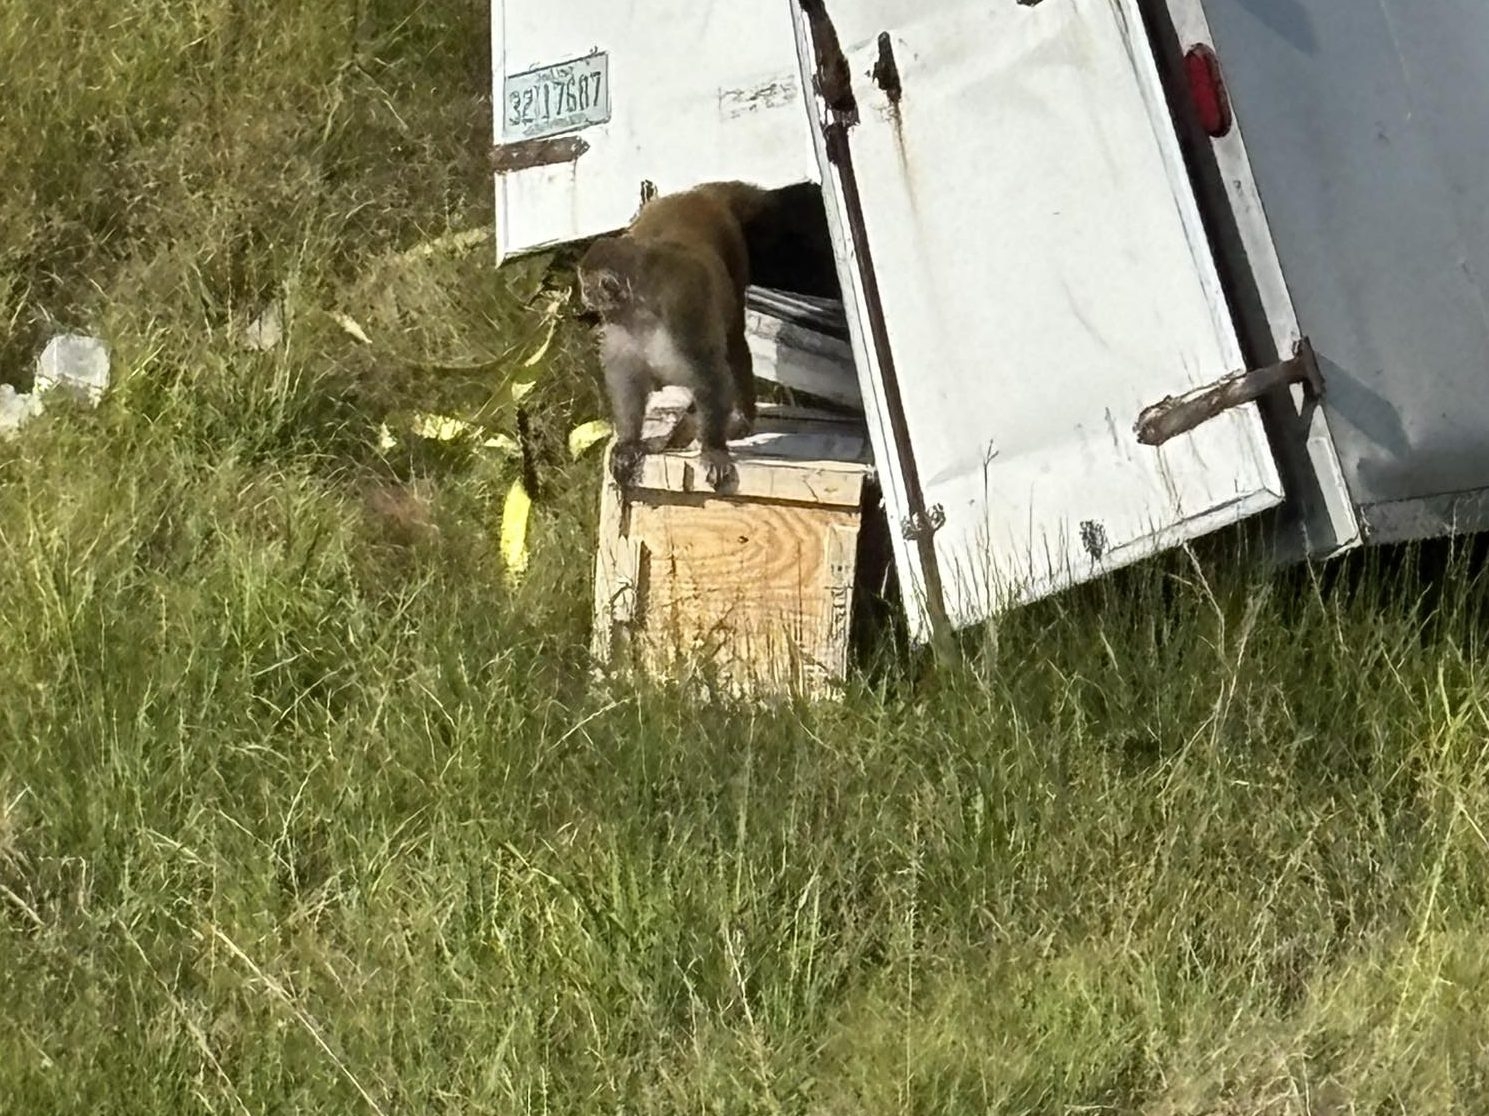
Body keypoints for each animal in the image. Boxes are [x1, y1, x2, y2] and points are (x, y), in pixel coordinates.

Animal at [576, 180, 769, 491]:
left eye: (586, 286)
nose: (583, 296)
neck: (641, 307)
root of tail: (696, 194)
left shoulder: (683, 309)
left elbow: (709, 373)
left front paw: (713, 449)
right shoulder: (620, 324)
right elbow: (627, 377)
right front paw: (629, 442)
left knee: (734, 341)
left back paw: (742, 416)